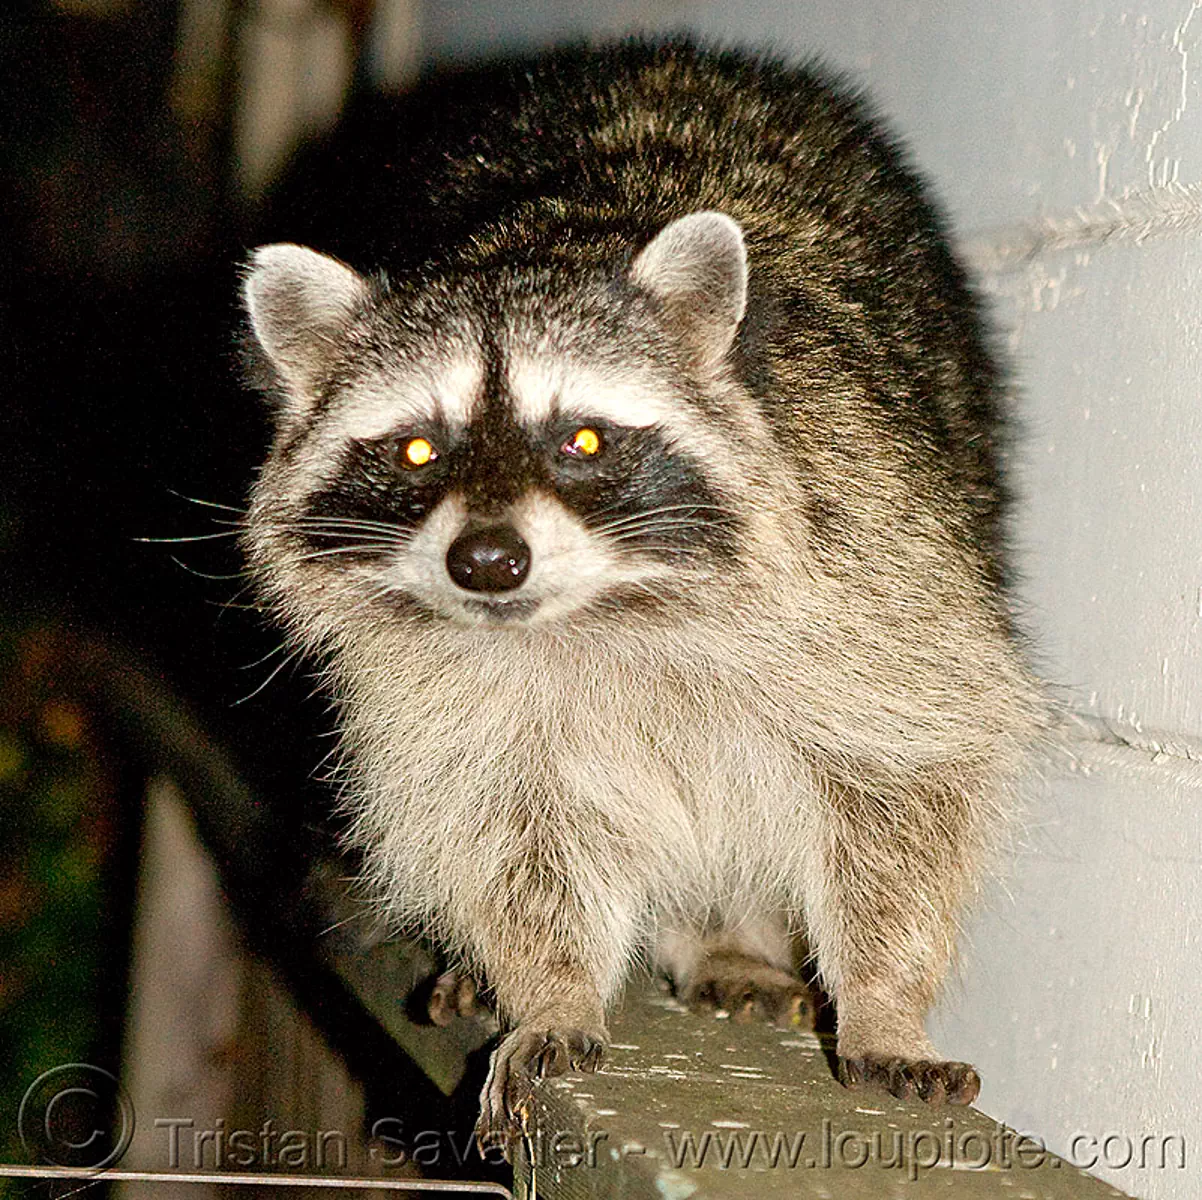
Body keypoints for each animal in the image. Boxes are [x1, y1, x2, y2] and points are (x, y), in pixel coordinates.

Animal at [236, 42, 1043, 1139]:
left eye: (581, 440)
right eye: (416, 449)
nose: (486, 562)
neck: (597, 612)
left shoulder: (871, 563)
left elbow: (900, 786)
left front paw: (881, 996)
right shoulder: (434, 680)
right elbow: (502, 821)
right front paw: (549, 987)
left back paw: (725, 933)